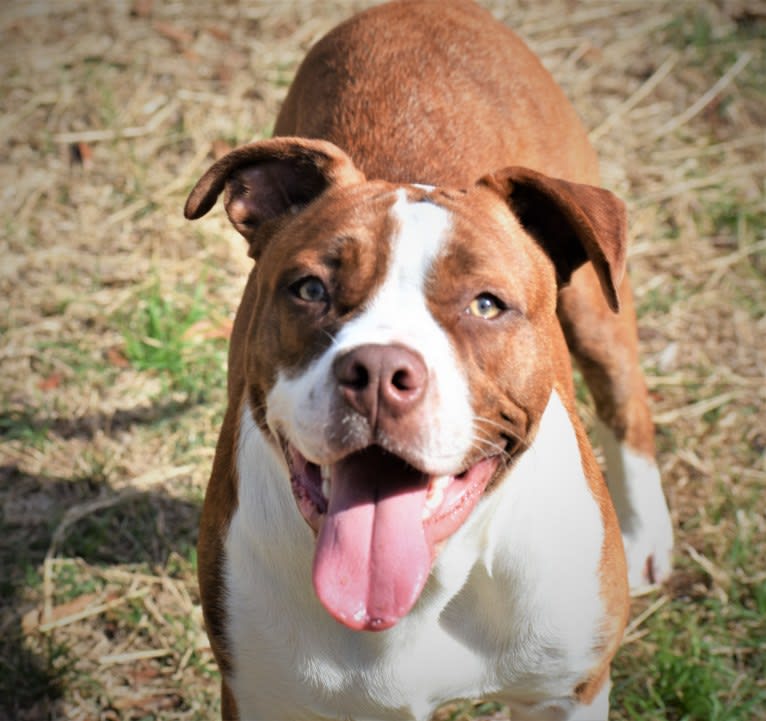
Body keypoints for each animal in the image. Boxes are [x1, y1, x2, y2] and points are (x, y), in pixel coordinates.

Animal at [183, 2, 676, 716]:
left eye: (486, 305)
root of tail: (419, 8)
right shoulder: (263, 694)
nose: (378, 373)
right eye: (311, 289)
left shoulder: (566, 691)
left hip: (595, 306)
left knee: (624, 393)